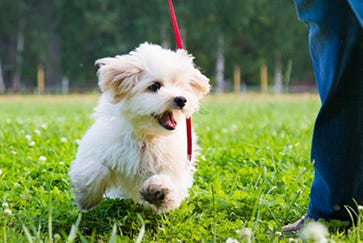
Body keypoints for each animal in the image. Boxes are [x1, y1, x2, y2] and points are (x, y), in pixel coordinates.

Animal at [69, 43, 209, 213]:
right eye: (155, 86)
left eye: (181, 86)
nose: (181, 99)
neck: (146, 136)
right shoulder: (101, 146)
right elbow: (95, 168)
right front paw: (87, 198)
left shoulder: (176, 163)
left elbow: (169, 180)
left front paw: (158, 190)